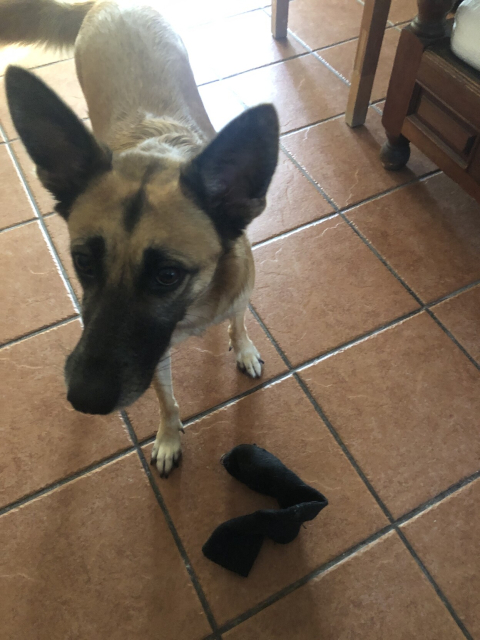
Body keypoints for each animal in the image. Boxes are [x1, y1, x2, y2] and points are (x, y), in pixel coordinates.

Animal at [0, 0, 278, 476]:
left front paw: (242, 348)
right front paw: (169, 436)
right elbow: (167, 400)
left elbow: (240, 322)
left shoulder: (239, 295)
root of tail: (105, 5)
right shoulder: (155, 357)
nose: (84, 399)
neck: (194, 309)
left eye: (168, 275)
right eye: (83, 262)